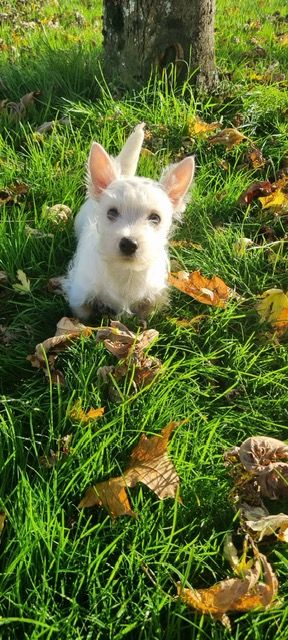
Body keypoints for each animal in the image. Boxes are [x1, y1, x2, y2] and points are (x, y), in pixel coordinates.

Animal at [62, 123, 195, 322]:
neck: (125, 273)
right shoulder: (79, 294)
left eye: (155, 218)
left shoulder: (153, 297)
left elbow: (146, 312)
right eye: (111, 212)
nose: (129, 243)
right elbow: (82, 313)